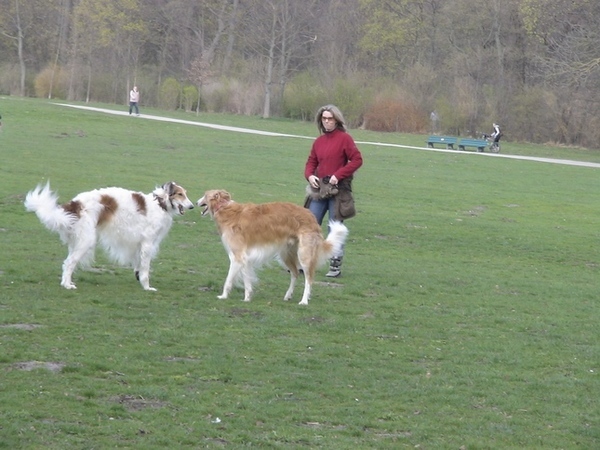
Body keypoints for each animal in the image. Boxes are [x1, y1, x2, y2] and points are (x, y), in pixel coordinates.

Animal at [24, 181, 193, 290]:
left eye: (186, 194)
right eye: (180, 194)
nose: (192, 206)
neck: (160, 203)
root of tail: (74, 204)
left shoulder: (138, 245)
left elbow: (138, 266)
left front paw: (138, 277)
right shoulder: (147, 243)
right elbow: (145, 269)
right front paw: (147, 287)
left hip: (78, 241)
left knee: (68, 262)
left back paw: (68, 282)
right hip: (87, 240)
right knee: (69, 262)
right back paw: (66, 285)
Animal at [197, 190, 346, 306]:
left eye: (205, 195)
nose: (196, 203)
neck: (225, 209)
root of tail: (312, 217)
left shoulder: (237, 257)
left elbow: (228, 280)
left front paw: (223, 296)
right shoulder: (244, 258)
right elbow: (247, 280)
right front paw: (247, 298)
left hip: (304, 256)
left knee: (309, 279)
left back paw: (304, 301)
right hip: (286, 255)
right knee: (295, 273)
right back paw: (288, 295)